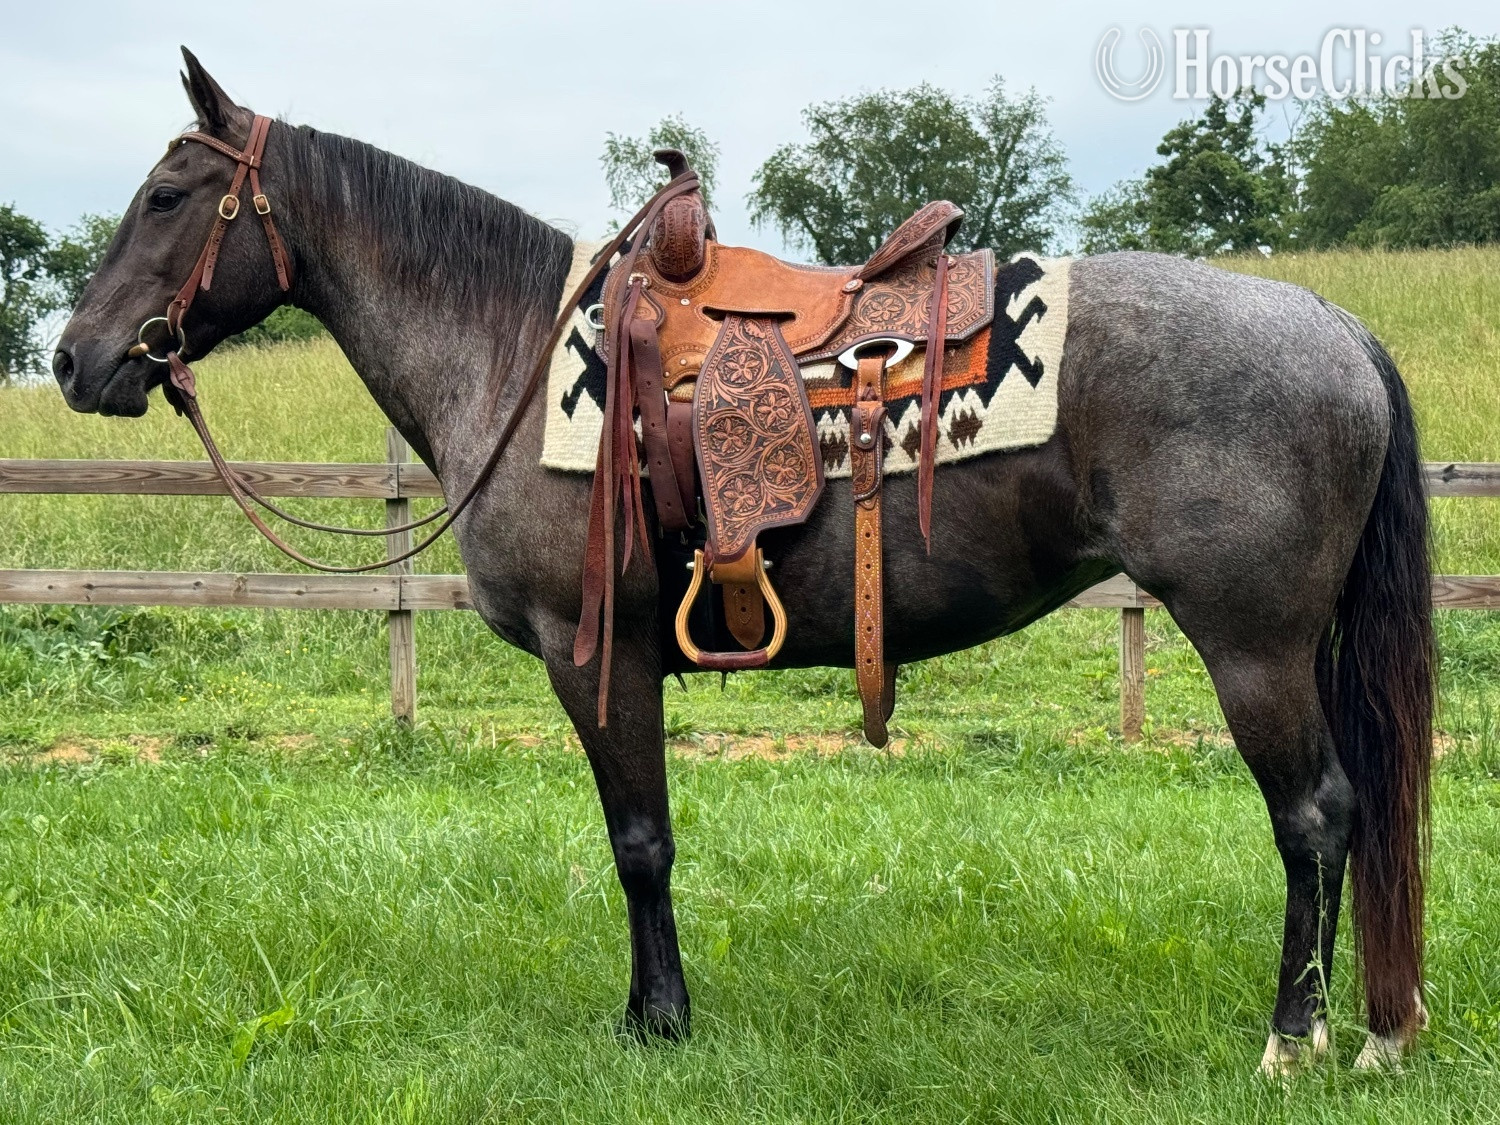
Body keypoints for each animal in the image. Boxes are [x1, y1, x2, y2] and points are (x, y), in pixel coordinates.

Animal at [52, 51, 1433, 1074]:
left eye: (167, 197)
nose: (74, 359)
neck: (509, 353)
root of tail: (1338, 326)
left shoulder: (593, 657)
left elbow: (639, 841)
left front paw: (655, 1023)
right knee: (1348, 814)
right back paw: (1370, 1032)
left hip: (1252, 644)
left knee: (1316, 815)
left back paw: (1296, 1038)